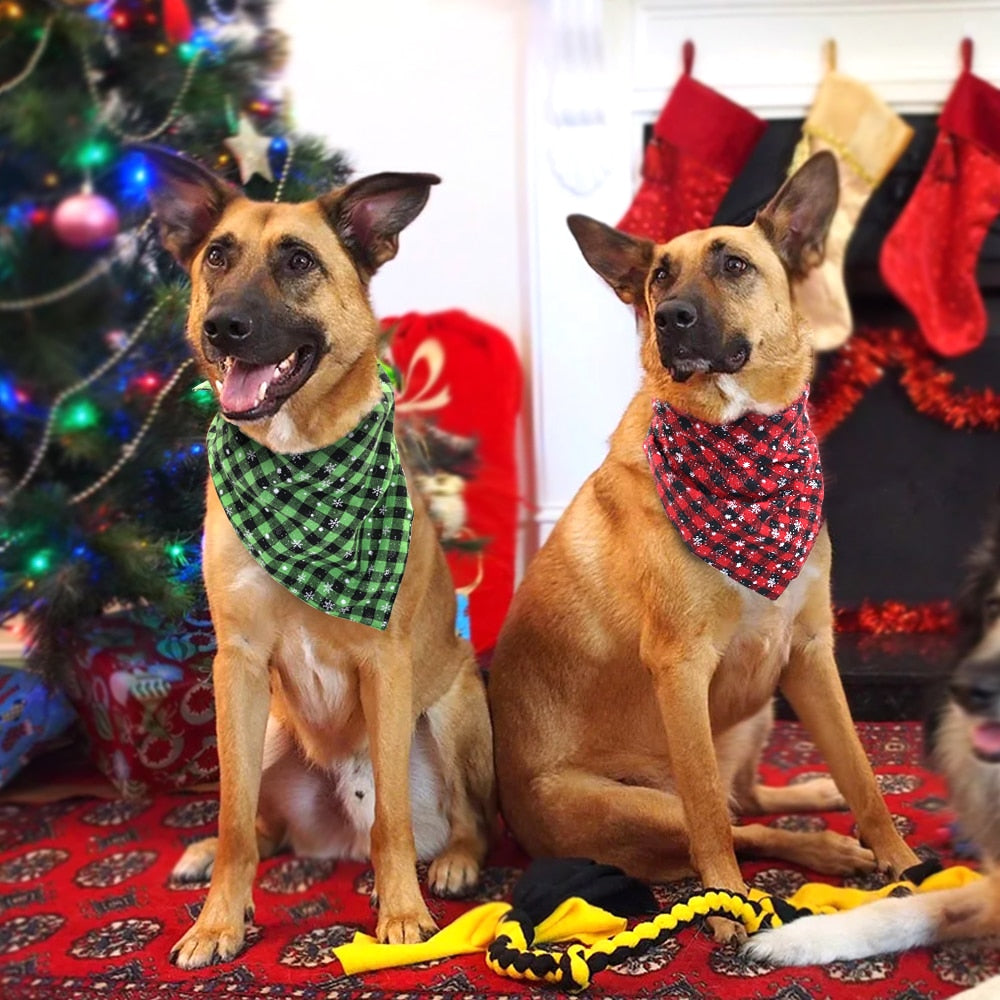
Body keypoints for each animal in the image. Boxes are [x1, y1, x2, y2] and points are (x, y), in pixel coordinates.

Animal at [141, 146, 496, 968]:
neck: (298, 462)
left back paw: (448, 864)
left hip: (453, 709)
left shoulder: (385, 665)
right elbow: (233, 817)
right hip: (269, 726)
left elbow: (394, 819)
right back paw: (215, 860)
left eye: (298, 261)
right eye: (217, 256)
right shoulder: (237, 666)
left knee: (456, 818)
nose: (223, 328)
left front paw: (403, 915)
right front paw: (218, 922)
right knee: (262, 825)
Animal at [486, 150, 920, 944]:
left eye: (734, 264)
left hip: (761, 706)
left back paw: (815, 800)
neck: (743, 446)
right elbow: (712, 822)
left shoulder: (810, 652)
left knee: (751, 798)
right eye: (660, 277)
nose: (671, 319)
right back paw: (820, 852)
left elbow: (863, 773)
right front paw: (728, 904)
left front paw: (906, 862)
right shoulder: (681, 670)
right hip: (642, 801)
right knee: (728, 819)